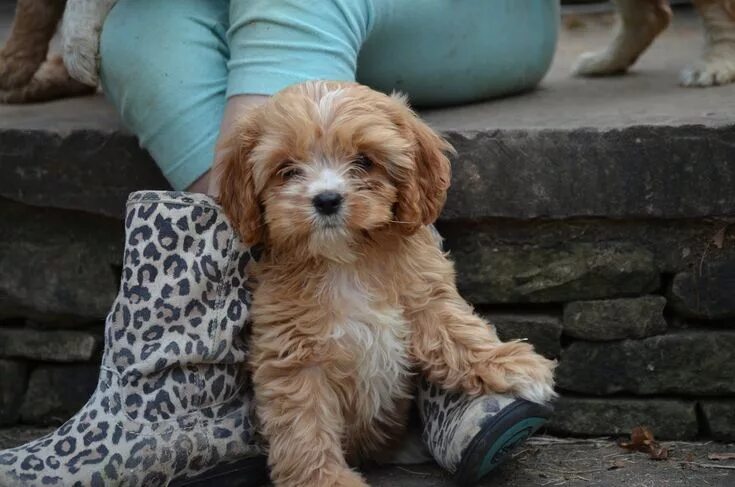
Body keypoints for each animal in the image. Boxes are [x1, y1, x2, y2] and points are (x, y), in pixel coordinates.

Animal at [218, 80, 556, 487]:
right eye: (287, 169)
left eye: (364, 160)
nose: (327, 200)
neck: (346, 260)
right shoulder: (293, 354)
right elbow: (304, 424)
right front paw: (326, 480)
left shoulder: (423, 296)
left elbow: (456, 329)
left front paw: (511, 364)